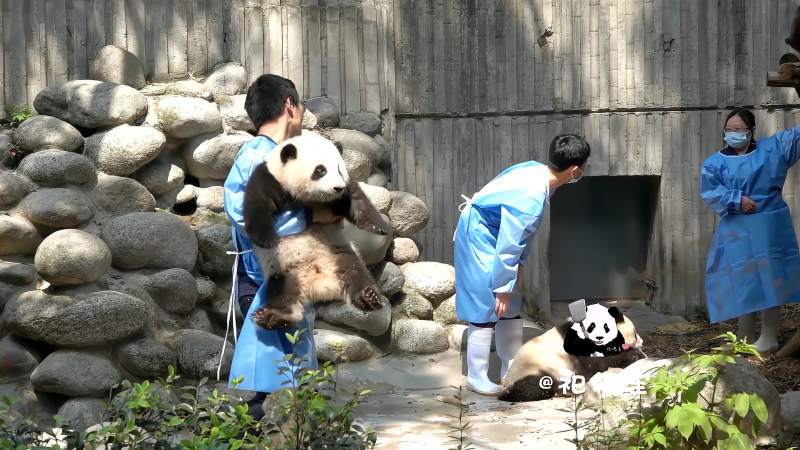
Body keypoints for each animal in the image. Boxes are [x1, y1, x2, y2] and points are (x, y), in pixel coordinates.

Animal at [244, 132, 394, 328]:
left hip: (339, 253)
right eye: (320, 170)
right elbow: (257, 204)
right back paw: (272, 316)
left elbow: (357, 201)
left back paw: (367, 297)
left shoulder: (345, 189)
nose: (337, 187)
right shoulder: (269, 178)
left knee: (355, 273)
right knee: (281, 294)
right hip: (283, 270)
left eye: (339, 169)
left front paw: (381, 227)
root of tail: (318, 285)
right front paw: (266, 239)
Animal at [500, 302, 644, 400]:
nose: (642, 341)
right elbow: (597, 363)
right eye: (634, 333)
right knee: (536, 385)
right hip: (536, 367)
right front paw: (634, 356)